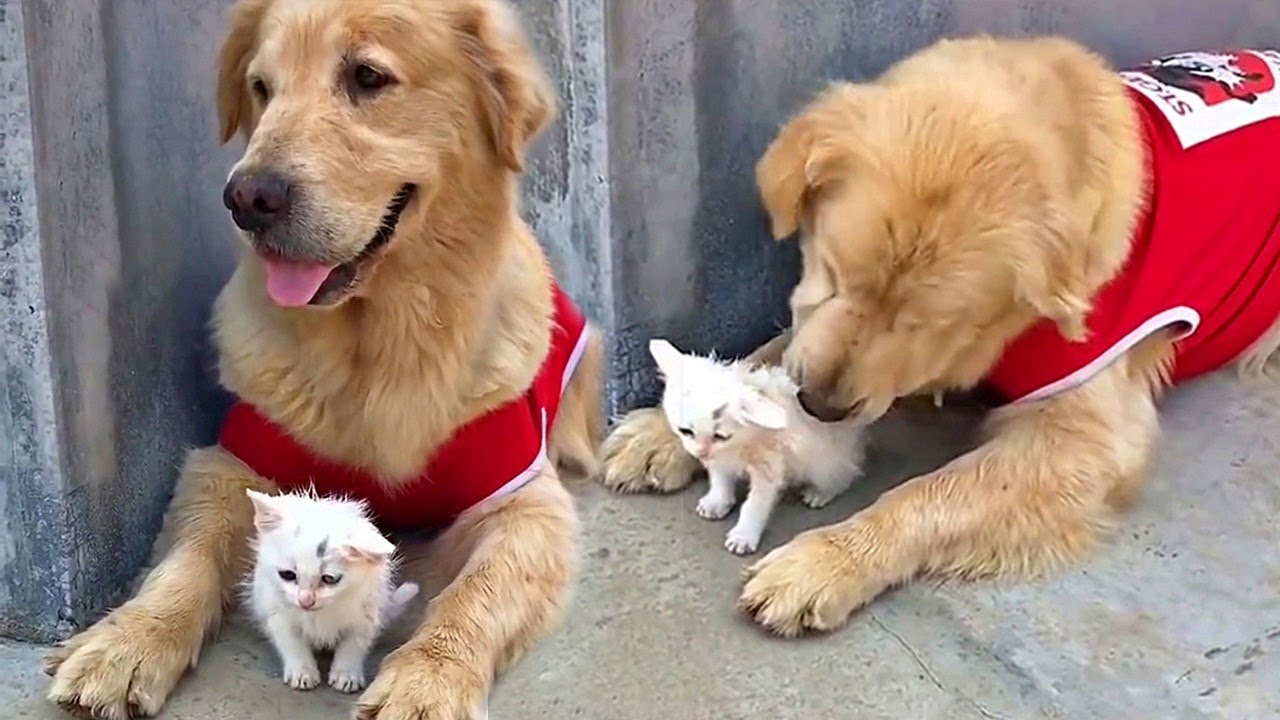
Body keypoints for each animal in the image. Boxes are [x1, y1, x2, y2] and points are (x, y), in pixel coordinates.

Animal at [241, 486, 417, 691]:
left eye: (329, 579)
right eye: (288, 575)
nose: (305, 601)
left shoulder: (367, 612)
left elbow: (354, 644)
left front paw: (346, 674)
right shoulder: (276, 610)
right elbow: (292, 642)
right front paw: (302, 671)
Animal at [650, 338, 870, 550]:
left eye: (720, 436)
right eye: (685, 431)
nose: (701, 453)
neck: (742, 442)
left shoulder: (769, 466)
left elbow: (755, 504)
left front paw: (744, 535)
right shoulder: (720, 458)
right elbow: (720, 477)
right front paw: (718, 501)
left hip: (826, 462)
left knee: (845, 473)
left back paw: (822, 492)